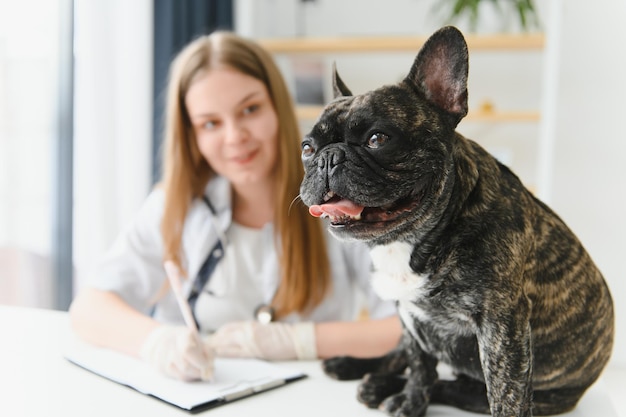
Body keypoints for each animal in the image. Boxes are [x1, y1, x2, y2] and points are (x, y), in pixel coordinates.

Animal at [296, 26, 608, 416]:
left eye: (377, 139)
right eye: (307, 148)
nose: (328, 158)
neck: (410, 240)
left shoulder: (501, 326)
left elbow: (504, 394)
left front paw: (408, 399)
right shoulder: (408, 316)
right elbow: (418, 363)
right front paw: (412, 399)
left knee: (458, 388)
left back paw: (380, 384)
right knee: (401, 357)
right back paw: (357, 367)